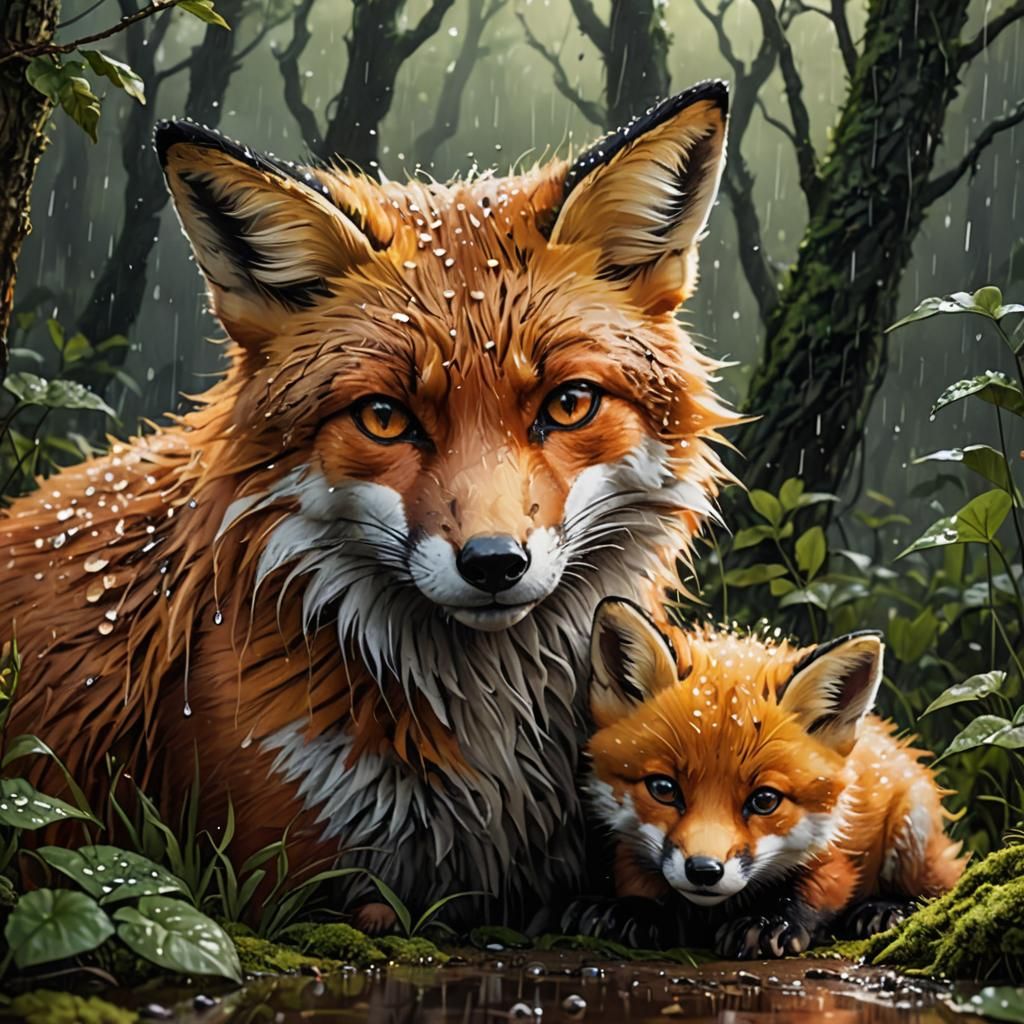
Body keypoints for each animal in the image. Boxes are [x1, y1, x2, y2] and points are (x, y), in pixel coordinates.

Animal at [574, 598, 966, 957]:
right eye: (663, 789)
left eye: (765, 800)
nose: (704, 870)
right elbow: (634, 875)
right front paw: (635, 909)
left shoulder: (836, 850)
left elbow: (814, 888)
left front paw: (770, 922)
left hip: (912, 827)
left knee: (943, 885)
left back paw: (888, 909)